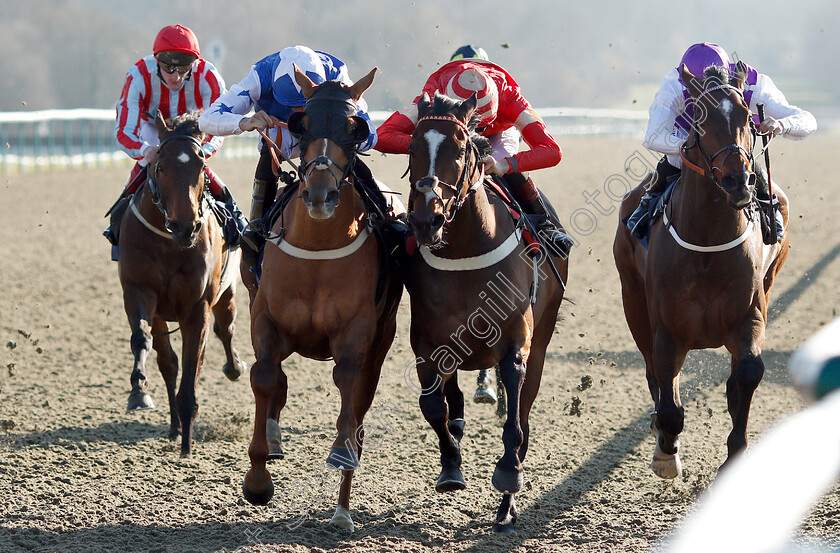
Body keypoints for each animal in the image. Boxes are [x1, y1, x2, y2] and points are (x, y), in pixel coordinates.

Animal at [117, 111, 246, 458]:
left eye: (201, 167)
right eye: (160, 166)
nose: (185, 226)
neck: (169, 244)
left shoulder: (196, 307)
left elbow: (193, 367)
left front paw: (187, 448)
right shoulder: (139, 292)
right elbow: (143, 341)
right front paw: (139, 392)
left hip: (227, 294)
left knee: (224, 331)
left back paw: (234, 368)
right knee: (169, 362)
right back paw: (174, 426)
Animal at [241, 66, 406, 532]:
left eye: (354, 128)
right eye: (304, 124)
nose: (320, 195)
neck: (317, 247)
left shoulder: (357, 334)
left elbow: (349, 392)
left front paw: (341, 460)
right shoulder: (265, 319)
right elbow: (264, 378)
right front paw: (257, 480)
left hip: (382, 341)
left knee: (359, 408)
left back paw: (341, 511)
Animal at [404, 90, 568, 532]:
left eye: (460, 149)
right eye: (412, 148)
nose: (427, 220)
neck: (466, 250)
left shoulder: (517, 342)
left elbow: (514, 421)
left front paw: (508, 476)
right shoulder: (427, 343)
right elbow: (433, 407)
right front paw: (451, 466)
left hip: (542, 341)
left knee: (523, 412)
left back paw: (507, 505)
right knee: (453, 398)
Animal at [612, 63, 792, 478]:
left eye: (747, 117)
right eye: (700, 119)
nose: (737, 180)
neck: (708, 246)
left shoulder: (750, 316)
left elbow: (748, 373)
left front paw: (735, 451)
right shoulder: (666, 330)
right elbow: (669, 405)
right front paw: (666, 454)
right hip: (632, 299)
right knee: (654, 375)